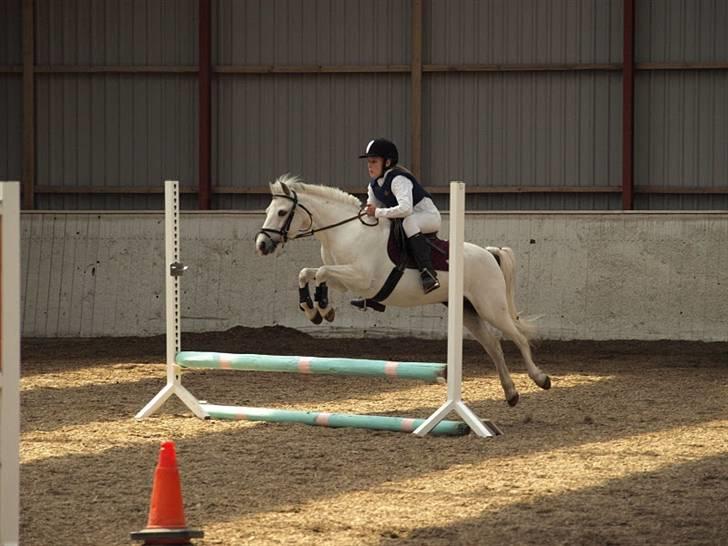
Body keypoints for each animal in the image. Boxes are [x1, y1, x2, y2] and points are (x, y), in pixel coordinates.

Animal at [255, 174, 551, 406]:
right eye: (269, 210)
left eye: (282, 213)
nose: (262, 245)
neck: (345, 232)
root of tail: (490, 253)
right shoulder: (345, 279)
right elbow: (309, 273)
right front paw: (316, 310)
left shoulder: (362, 278)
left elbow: (321, 272)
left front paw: (321, 309)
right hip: (468, 311)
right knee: (494, 346)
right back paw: (511, 393)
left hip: (490, 306)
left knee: (518, 338)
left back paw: (541, 379)